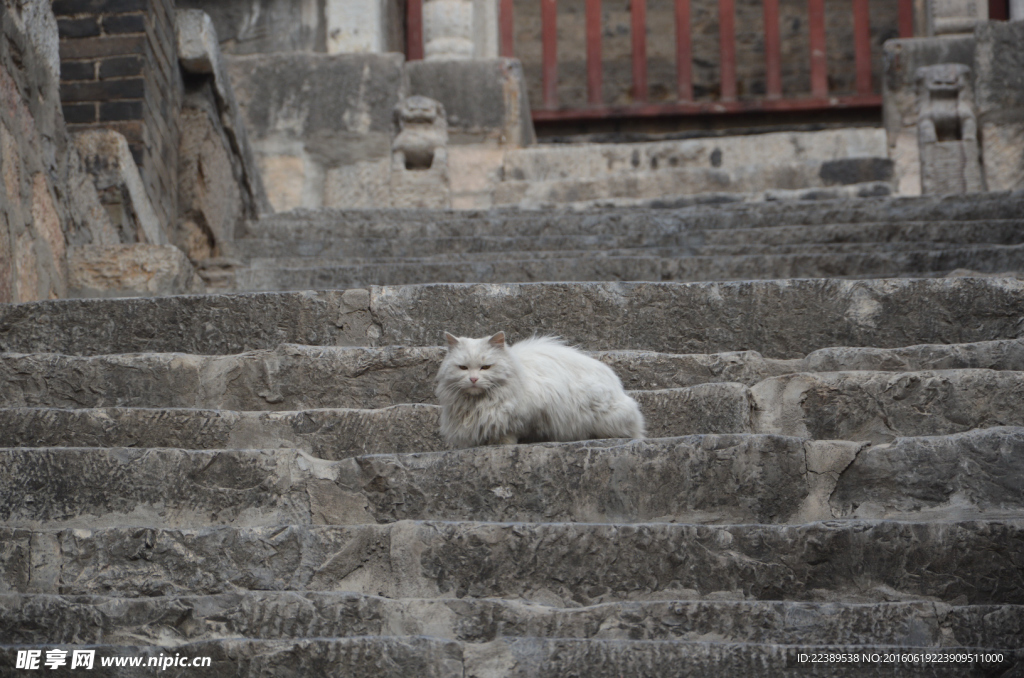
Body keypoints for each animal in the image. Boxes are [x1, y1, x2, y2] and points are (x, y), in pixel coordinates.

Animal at [434, 329, 643, 448]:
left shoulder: (528, 414)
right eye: (463, 368)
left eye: (486, 367)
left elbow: (510, 431)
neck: (479, 404)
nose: (473, 379)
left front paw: (502, 442)